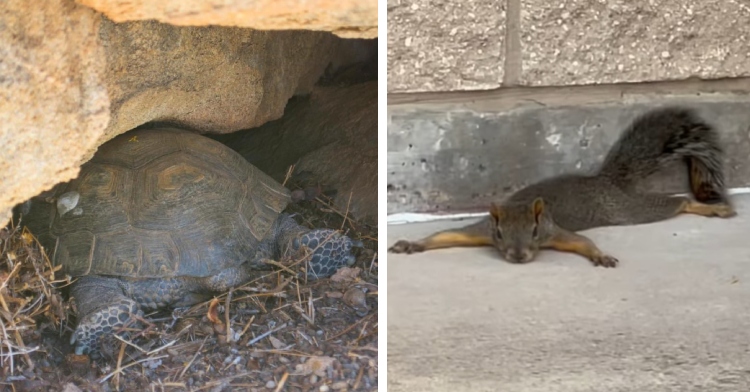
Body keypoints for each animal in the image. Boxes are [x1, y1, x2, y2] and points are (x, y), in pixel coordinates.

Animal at [390, 106, 736, 266]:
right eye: (499, 232)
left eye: (535, 230)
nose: (518, 257)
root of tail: (604, 179)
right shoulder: (480, 231)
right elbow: (446, 235)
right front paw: (412, 244)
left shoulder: (555, 232)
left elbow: (582, 242)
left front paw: (600, 255)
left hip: (626, 209)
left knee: (676, 202)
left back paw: (712, 209)